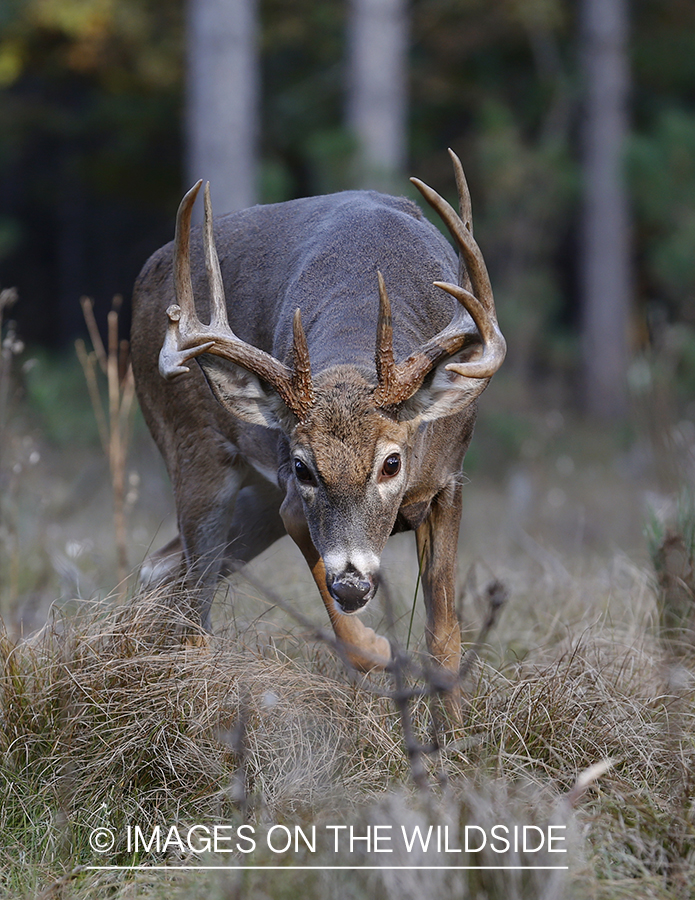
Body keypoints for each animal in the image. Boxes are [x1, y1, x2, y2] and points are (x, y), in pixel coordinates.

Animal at [130, 151, 506, 692]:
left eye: (392, 463)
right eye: (305, 468)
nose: (352, 585)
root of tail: (146, 272)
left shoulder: (448, 480)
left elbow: (445, 638)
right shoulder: (289, 494)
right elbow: (346, 624)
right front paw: (380, 647)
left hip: (254, 496)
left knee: (163, 569)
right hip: (194, 447)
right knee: (193, 597)